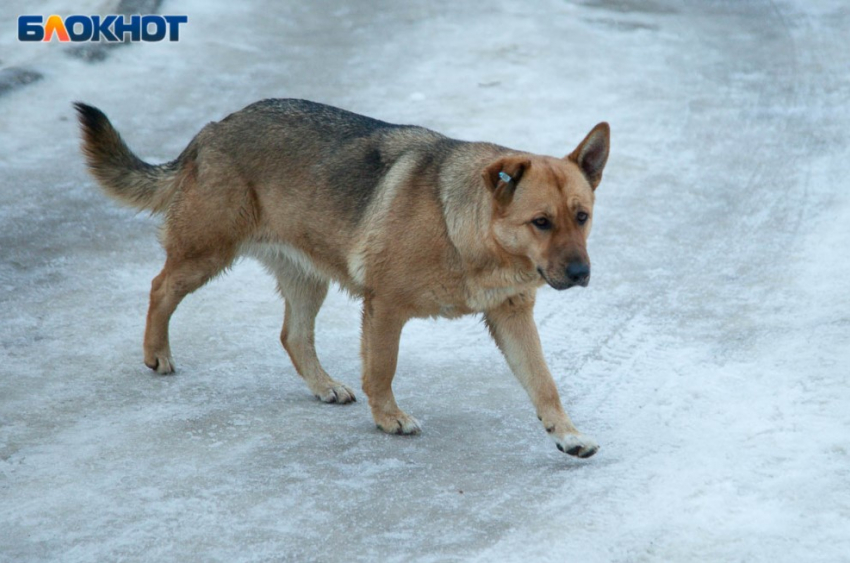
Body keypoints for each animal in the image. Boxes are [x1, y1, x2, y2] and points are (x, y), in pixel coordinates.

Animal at [71, 98, 604, 458]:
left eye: (582, 217)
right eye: (541, 222)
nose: (582, 274)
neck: (468, 233)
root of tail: (211, 130)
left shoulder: (512, 315)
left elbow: (544, 382)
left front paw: (566, 434)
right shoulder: (386, 308)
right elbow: (382, 370)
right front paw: (389, 418)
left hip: (306, 277)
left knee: (292, 335)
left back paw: (323, 385)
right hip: (206, 252)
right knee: (160, 287)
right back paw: (156, 353)